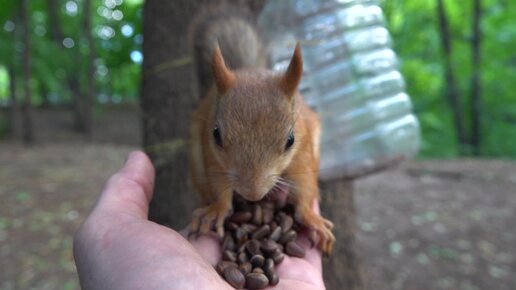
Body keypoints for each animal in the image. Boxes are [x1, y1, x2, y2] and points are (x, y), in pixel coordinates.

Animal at [187, 3, 336, 254]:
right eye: (216, 135)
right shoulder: (212, 156)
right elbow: (218, 184)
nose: (253, 194)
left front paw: (310, 217)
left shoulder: (303, 151)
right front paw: (216, 210)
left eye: (290, 140)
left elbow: (305, 184)